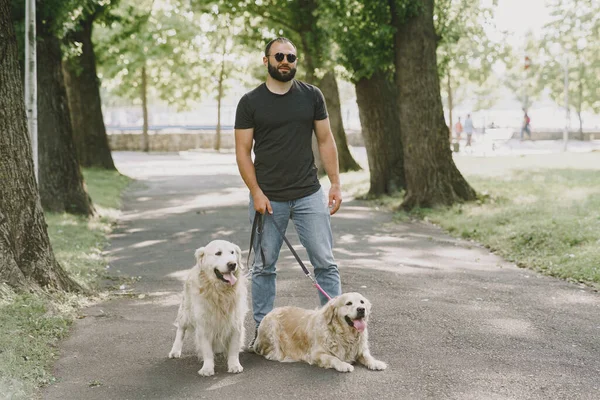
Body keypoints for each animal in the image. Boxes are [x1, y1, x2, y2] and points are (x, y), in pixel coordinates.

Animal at [168, 241, 247, 376]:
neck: (220, 292)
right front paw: (207, 368)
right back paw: (175, 350)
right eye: (218, 253)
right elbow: (207, 350)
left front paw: (234, 365)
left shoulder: (235, 323)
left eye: (232, 252)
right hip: (186, 311)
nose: (232, 264)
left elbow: (233, 348)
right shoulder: (204, 325)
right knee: (181, 329)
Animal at [252, 290, 384, 372]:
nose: (361, 309)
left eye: (362, 302)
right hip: (271, 328)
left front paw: (376, 363)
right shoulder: (316, 354)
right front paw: (343, 365)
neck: (345, 335)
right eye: (348, 303)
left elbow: (367, 356)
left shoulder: (360, 348)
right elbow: (333, 358)